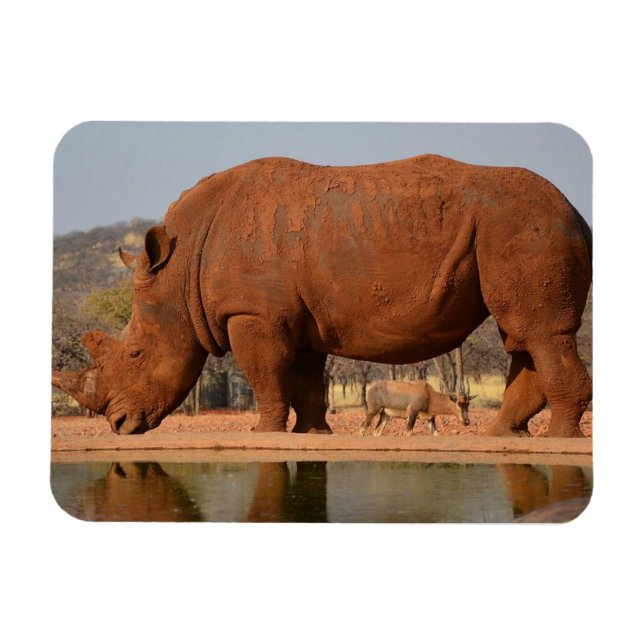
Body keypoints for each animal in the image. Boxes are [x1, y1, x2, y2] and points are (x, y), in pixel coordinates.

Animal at [52, 154, 592, 437]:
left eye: (136, 354)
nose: (119, 424)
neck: (179, 270)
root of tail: (578, 215)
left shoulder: (252, 313)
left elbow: (266, 376)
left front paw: (264, 434)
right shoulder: (295, 319)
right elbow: (306, 380)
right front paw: (312, 435)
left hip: (526, 227)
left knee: (541, 334)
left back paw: (557, 441)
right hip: (516, 230)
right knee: (523, 337)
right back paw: (506, 435)